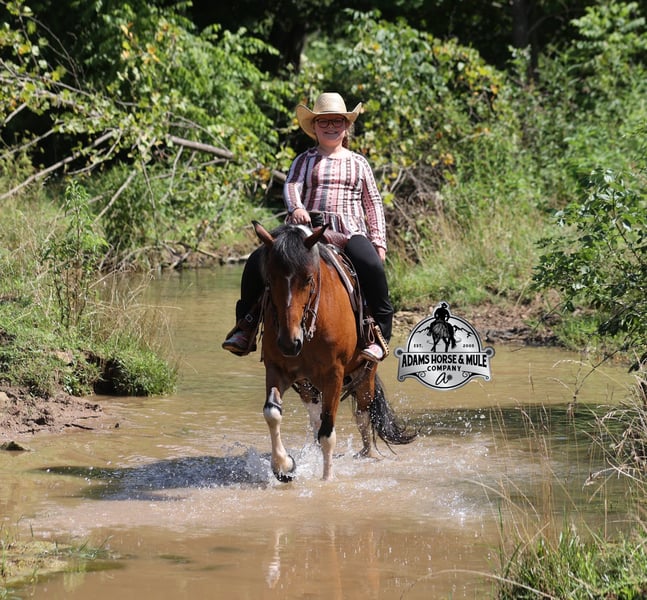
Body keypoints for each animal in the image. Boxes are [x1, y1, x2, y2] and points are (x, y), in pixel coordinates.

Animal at [253, 221, 415, 481]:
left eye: (308, 279)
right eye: (269, 279)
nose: (289, 343)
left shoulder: (334, 374)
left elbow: (328, 432)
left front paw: (327, 481)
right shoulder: (277, 368)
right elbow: (272, 413)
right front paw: (284, 466)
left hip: (365, 373)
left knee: (363, 414)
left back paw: (369, 455)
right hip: (307, 383)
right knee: (315, 416)